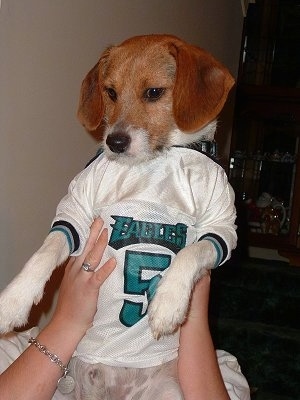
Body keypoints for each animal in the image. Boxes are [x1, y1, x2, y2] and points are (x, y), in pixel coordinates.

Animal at [0, 35, 237, 400]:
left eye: (153, 92)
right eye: (110, 92)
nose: (115, 142)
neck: (157, 160)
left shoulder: (222, 226)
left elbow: (193, 250)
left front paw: (169, 301)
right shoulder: (77, 208)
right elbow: (49, 247)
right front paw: (14, 299)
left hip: (169, 392)